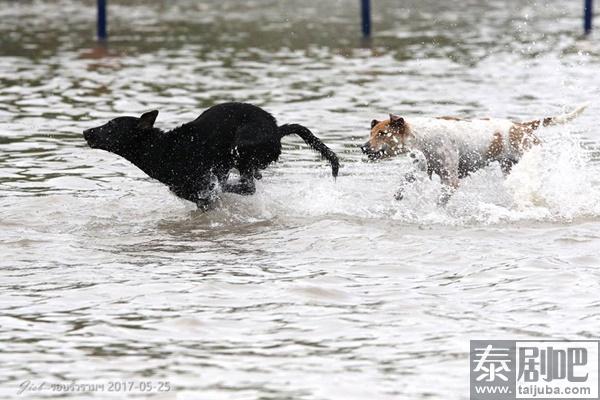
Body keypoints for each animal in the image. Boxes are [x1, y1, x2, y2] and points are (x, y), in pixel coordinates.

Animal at [82, 103, 340, 208]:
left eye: (111, 126)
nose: (85, 132)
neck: (163, 148)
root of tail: (277, 130)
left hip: (241, 148)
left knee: (247, 186)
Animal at [360, 104, 584, 203]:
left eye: (382, 133)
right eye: (370, 133)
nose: (363, 146)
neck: (423, 136)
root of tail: (521, 126)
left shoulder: (450, 180)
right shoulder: (422, 167)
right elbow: (405, 180)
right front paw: (397, 197)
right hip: (509, 167)